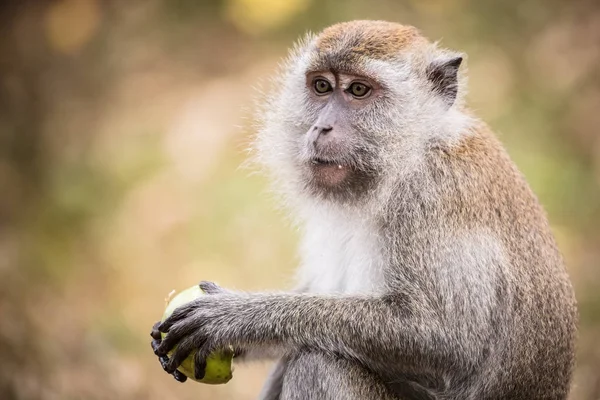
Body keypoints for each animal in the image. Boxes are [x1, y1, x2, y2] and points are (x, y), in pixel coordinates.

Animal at [149, 21, 576, 400]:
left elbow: (446, 342)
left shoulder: (430, 197)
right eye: (322, 86)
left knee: (319, 363)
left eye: (358, 90)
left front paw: (236, 319)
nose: (321, 128)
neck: (408, 155)